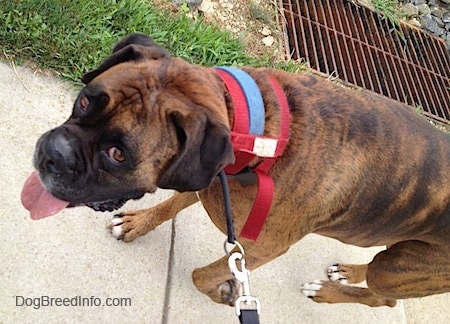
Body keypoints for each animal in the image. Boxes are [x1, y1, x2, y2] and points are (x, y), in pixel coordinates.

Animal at [22, 33, 450, 308]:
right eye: (84, 102)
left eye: (118, 154)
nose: (53, 153)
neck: (257, 133)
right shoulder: (207, 174)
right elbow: (176, 201)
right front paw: (138, 222)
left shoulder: (261, 249)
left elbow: (202, 274)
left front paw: (226, 291)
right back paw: (347, 270)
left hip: (399, 269)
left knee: (385, 300)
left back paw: (328, 293)